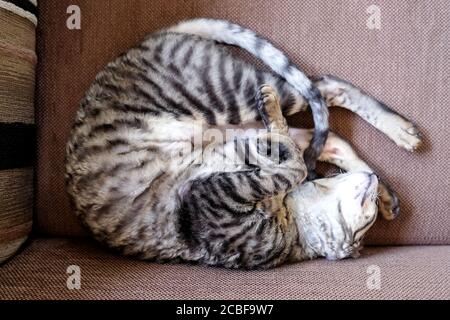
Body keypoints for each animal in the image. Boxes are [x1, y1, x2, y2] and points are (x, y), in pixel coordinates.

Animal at [64, 18, 422, 268]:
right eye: (366, 216)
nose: (371, 191)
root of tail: (148, 40)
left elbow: (289, 161)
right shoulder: (214, 188)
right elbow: (289, 162)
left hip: (230, 101)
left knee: (326, 90)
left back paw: (398, 136)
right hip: (232, 109)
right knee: (326, 119)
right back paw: (388, 185)